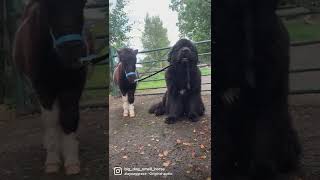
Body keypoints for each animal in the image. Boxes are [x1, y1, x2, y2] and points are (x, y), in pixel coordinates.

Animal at [13, 0, 94, 174]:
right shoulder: (42, 87)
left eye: (82, 4)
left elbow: (69, 116)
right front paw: (52, 160)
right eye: (47, 6)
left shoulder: (74, 84)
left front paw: (71, 160)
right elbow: (50, 120)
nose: (73, 54)